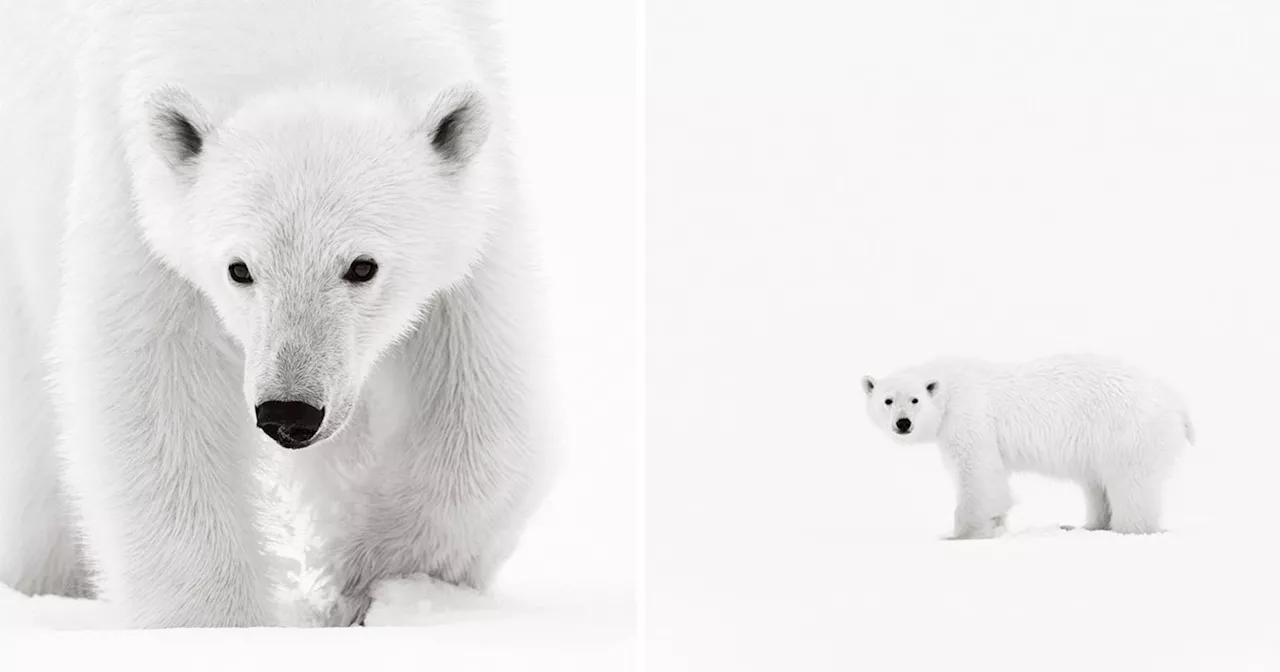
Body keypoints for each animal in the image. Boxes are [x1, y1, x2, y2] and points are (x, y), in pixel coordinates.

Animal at [865, 353, 1192, 537]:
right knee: (1097, 484)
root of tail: (1176, 402)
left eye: (915, 400)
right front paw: (995, 525)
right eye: (888, 400)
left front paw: (964, 533)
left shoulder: (968, 414)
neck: (949, 386)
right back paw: (1086, 525)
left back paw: (1131, 530)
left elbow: (978, 472)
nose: (903, 423)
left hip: (1126, 431)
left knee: (1130, 484)